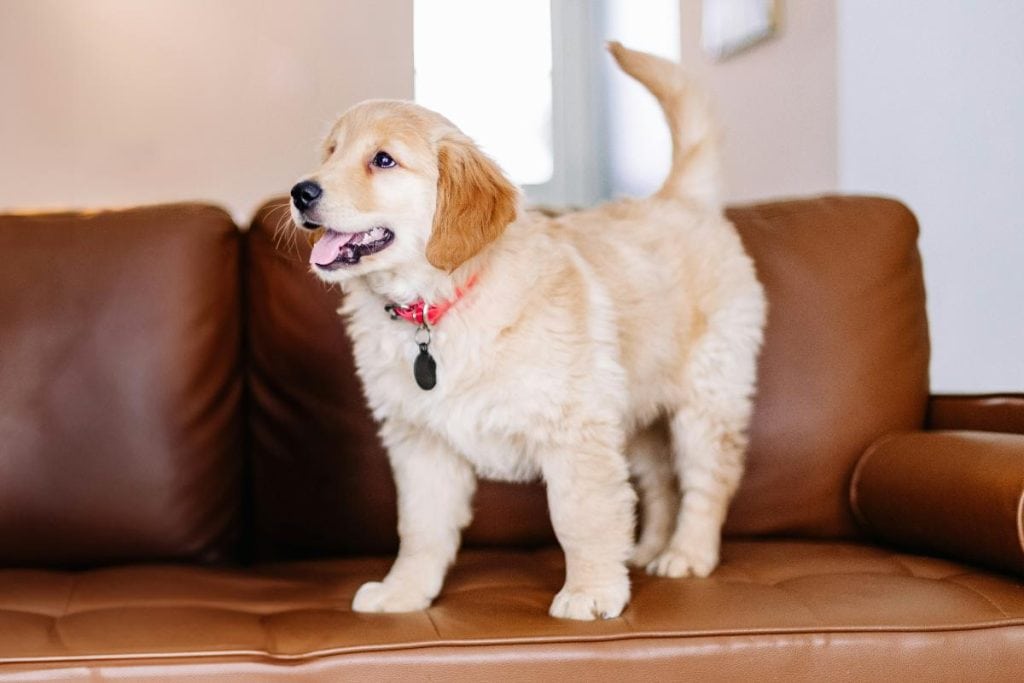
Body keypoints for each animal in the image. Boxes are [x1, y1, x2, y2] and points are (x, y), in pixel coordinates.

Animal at [292, 42, 765, 618]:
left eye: (383, 160)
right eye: (330, 152)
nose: (300, 192)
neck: (436, 306)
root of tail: (676, 197)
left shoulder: (576, 430)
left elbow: (583, 517)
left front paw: (590, 592)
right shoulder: (422, 440)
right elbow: (421, 529)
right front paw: (404, 590)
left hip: (707, 396)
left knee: (707, 479)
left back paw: (687, 554)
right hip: (636, 413)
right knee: (659, 482)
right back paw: (647, 548)